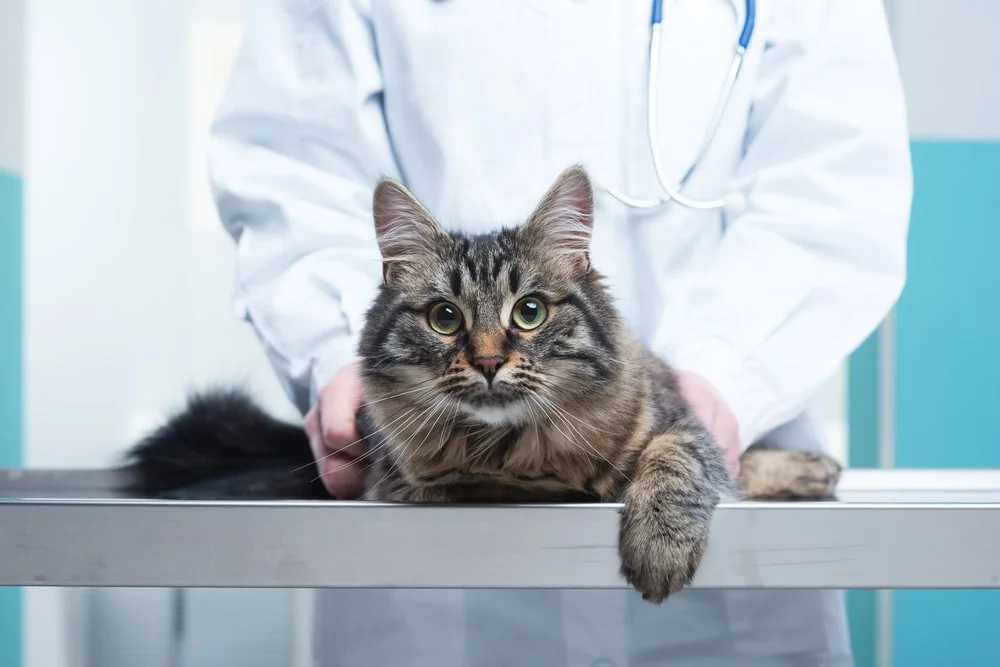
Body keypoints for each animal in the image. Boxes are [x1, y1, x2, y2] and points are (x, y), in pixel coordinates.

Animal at [119, 164, 844, 604]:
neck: (517, 449)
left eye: (530, 312)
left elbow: (680, 461)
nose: (491, 360)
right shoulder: (424, 478)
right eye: (445, 319)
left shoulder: (676, 418)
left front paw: (660, 544)